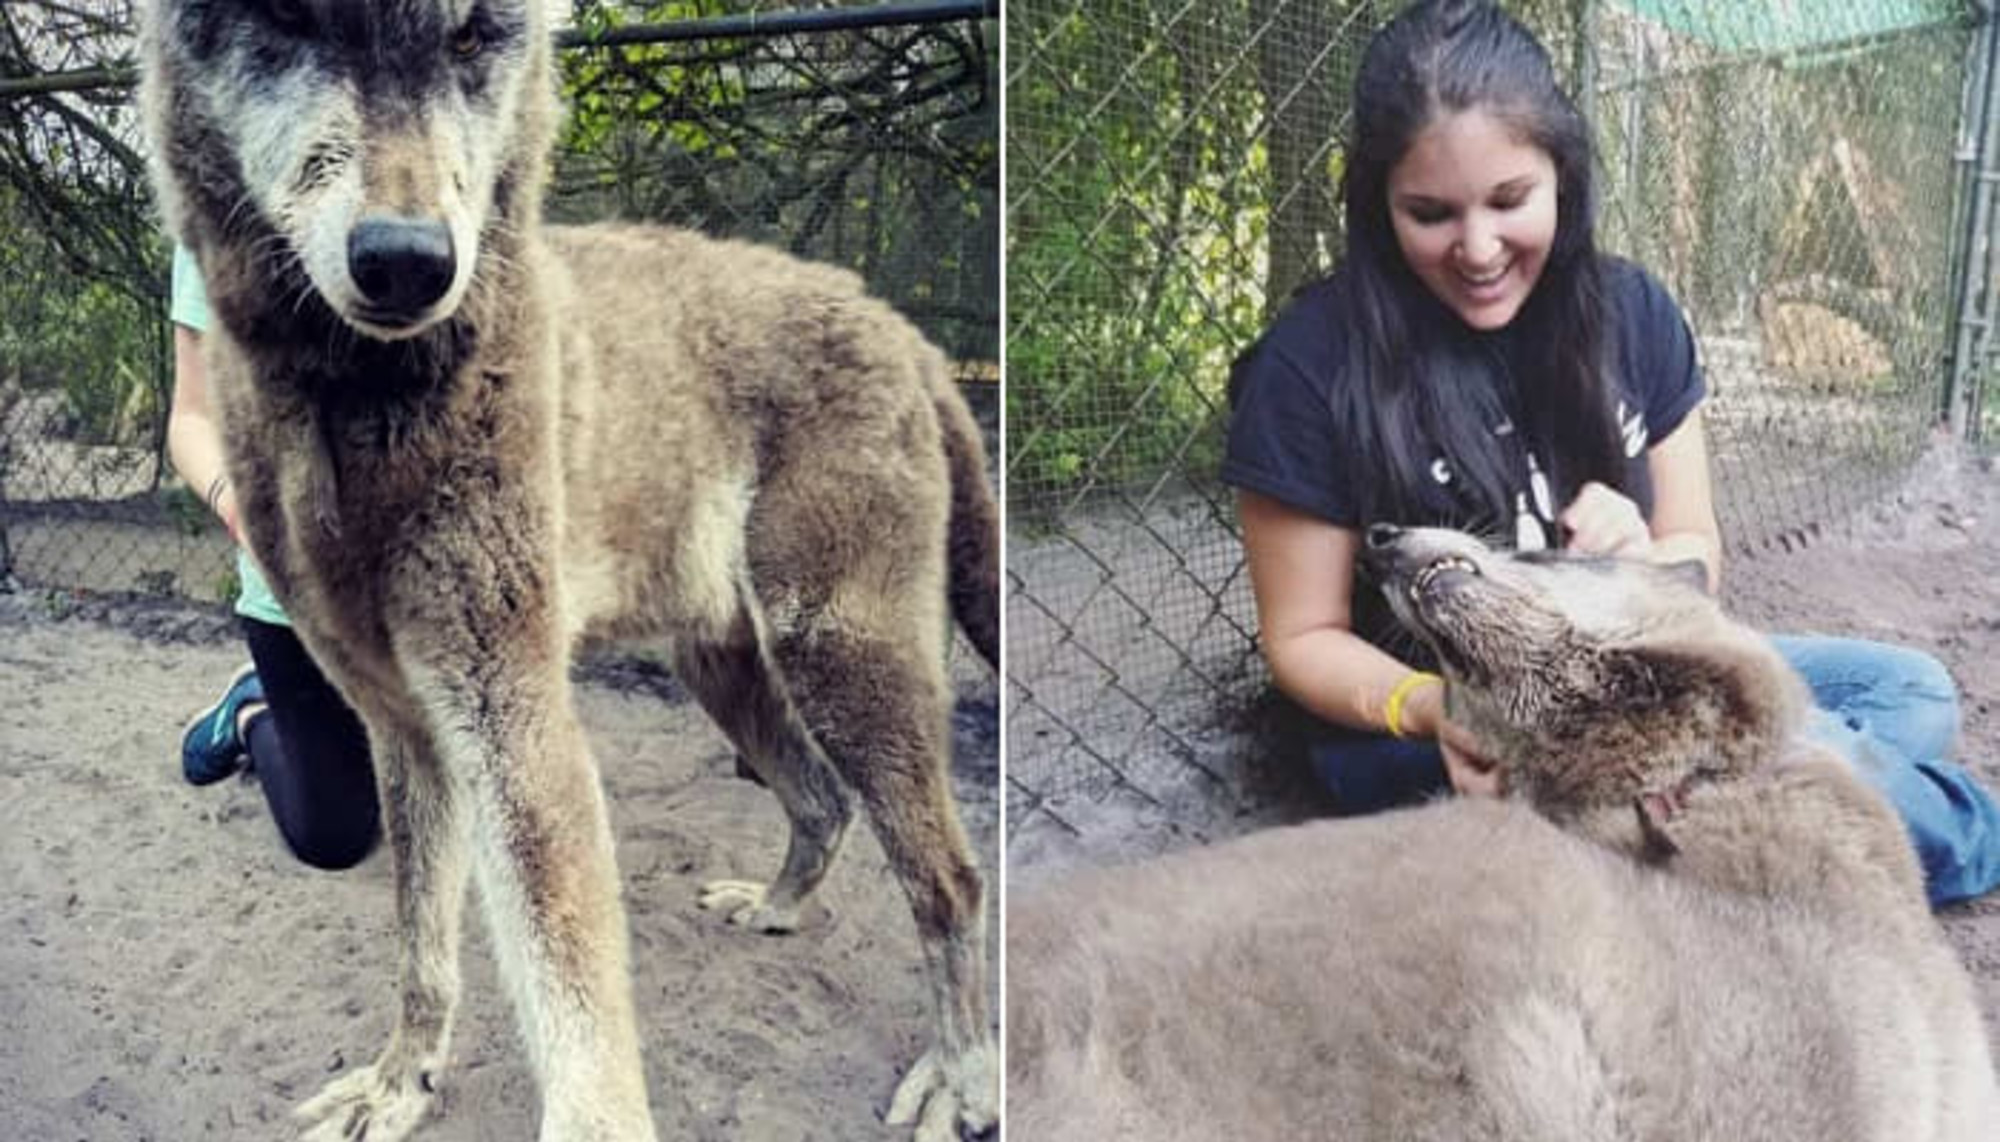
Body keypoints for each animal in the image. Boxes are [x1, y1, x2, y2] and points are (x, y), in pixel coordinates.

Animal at [141, 2, 1000, 1142]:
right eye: (290, 25)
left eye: (472, 38)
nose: (408, 261)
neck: (363, 409)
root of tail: (907, 334)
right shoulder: (409, 728)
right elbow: (423, 951)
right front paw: (401, 1082)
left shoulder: (518, 726)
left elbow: (573, 1005)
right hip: (725, 666)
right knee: (822, 801)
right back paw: (776, 910)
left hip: (845, 667)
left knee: (950, 877)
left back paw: (963, 1075)